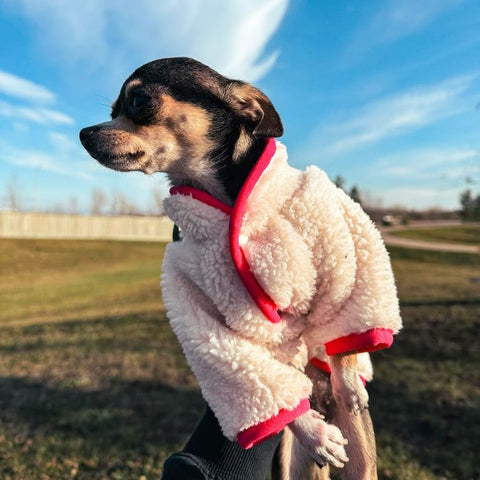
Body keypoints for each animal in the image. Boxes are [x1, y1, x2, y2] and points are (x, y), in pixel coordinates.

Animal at [82, 55, 382, 476]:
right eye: (112, 111)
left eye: (138, 101)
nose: (83, 133)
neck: (224, 196)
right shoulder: (198, 310)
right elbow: (258, 382)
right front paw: (313, 431)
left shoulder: (341, 244)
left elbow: (346, 318)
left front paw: (350, 381)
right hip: (291, 463)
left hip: (363, 462)